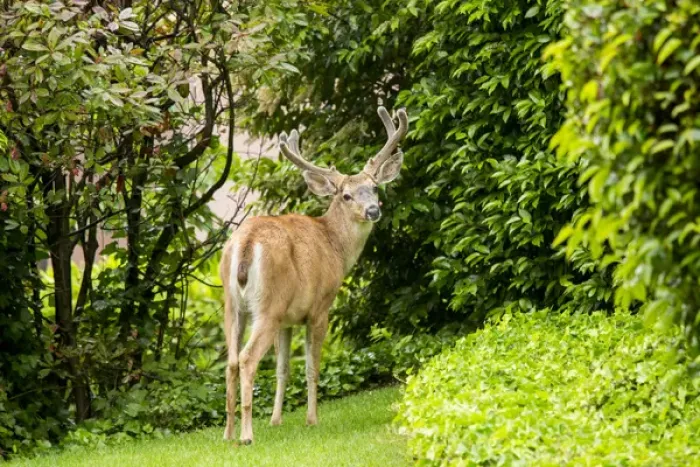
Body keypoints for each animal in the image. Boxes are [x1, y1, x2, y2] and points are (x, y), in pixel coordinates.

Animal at [218, 106, 408, 445]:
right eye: (346, 195)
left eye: (374, 187)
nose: (373, 210)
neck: (335, 246)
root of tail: (246, 243)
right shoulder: (319, 307)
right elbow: (311, 367)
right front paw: (311, 419)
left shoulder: (287, 319)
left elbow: (283, 369)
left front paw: (276, 421)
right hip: (268, 305)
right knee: (247, 358)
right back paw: (246, 435)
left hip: (233, 305)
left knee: (230, 361)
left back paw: (227, 434)